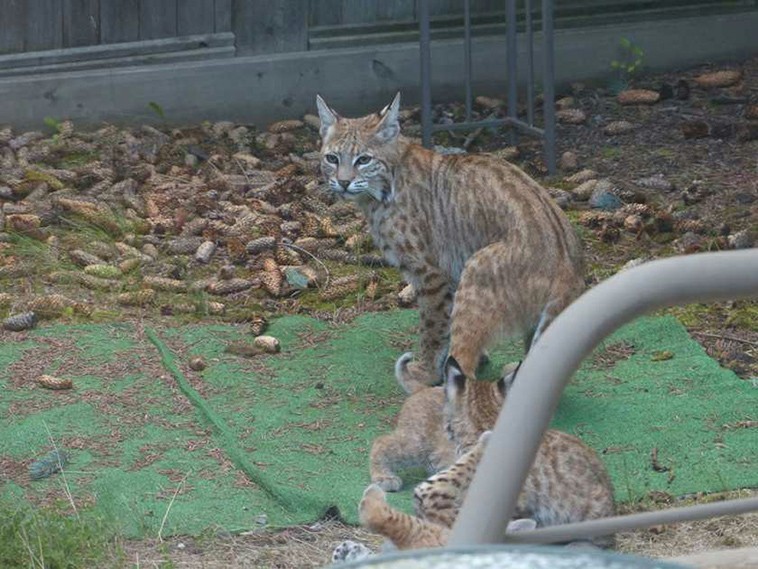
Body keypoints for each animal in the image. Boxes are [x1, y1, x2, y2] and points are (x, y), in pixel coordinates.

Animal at [318, 94, 584, 394]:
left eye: (363, 159)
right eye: (331, 158)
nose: (343, 182)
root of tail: (567, 265)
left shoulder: (430, 273)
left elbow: (432, 327)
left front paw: (426, 372)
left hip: (476, 269)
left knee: (464, 365)